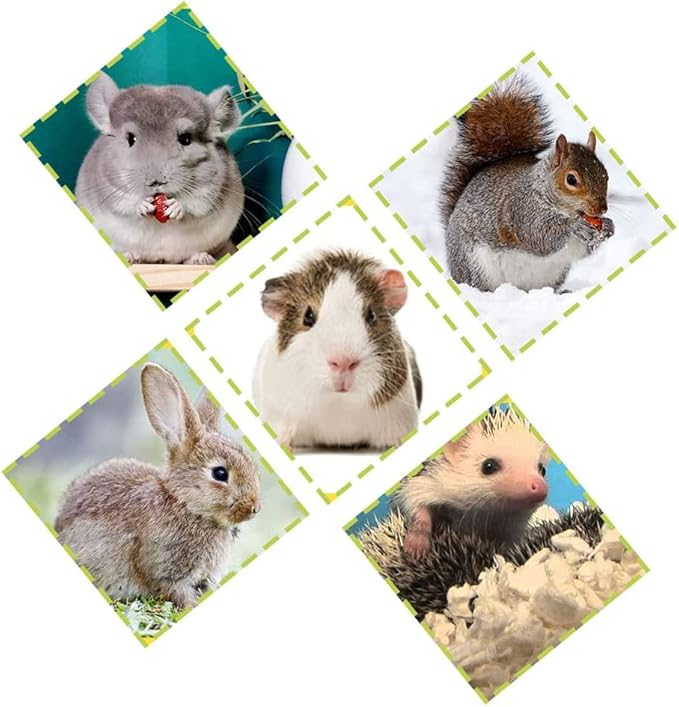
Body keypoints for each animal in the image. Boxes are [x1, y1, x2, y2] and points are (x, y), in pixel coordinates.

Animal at [75, 73, 244, 266]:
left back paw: (200, 259)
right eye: (130, 139)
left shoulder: (212, 188)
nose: (156, 182)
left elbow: (197, 204)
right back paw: (130, 256)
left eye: (186, 139)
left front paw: (175, 207)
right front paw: (142, 205)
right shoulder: (108, 185)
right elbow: (124, 203)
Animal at [395, 406, 549, 560]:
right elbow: (414, 503)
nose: (540, 488)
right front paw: (415, 546)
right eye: (489, 465)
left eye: (542, 469)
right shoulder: (424, 478)